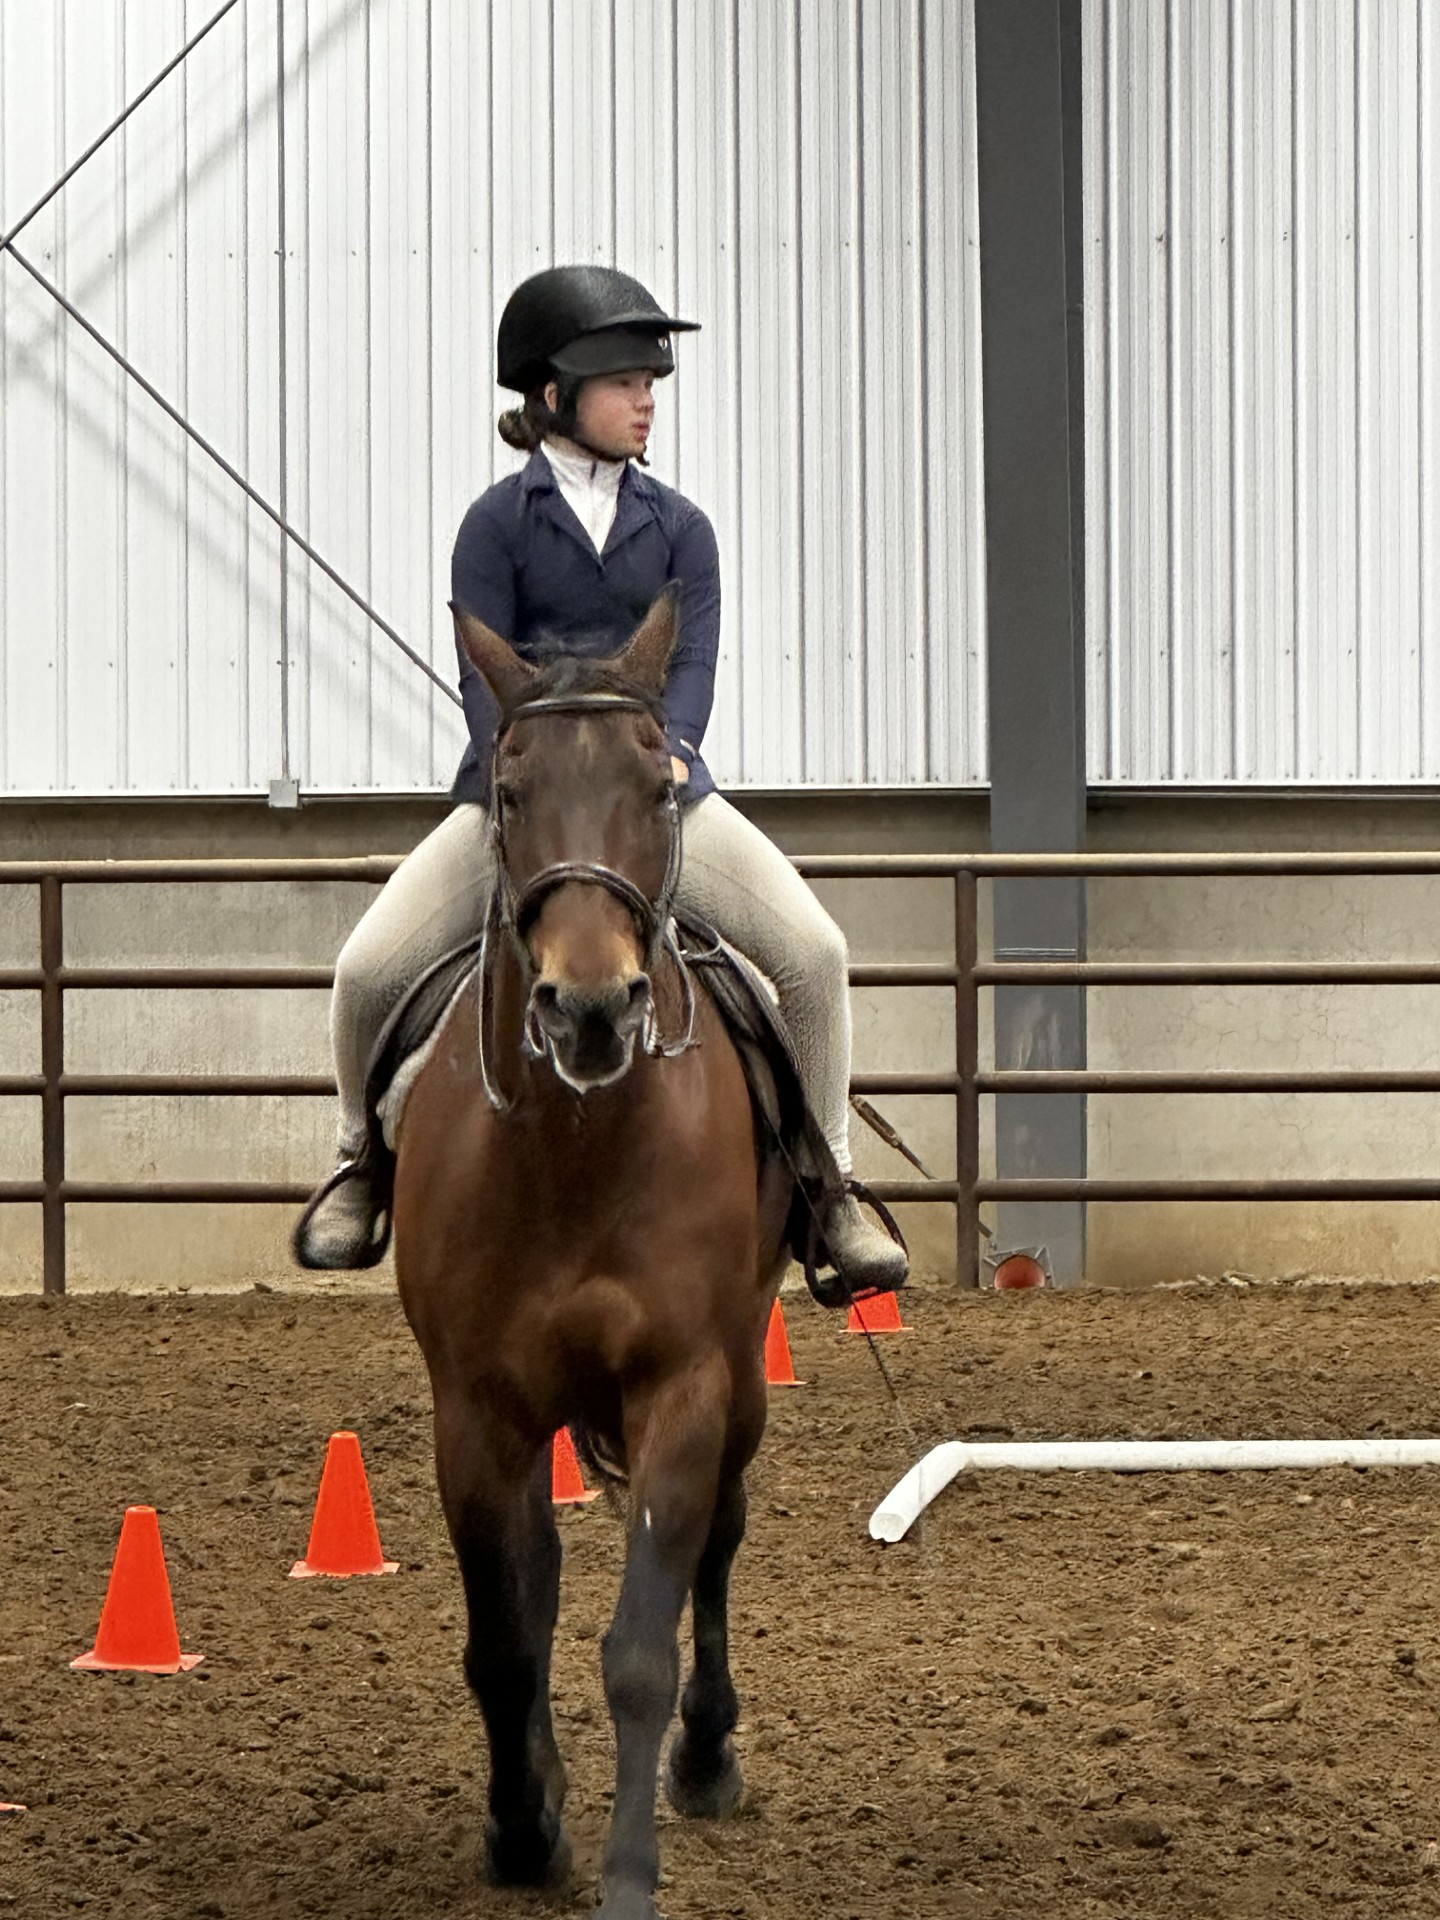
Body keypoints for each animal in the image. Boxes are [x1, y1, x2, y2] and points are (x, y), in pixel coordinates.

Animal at [391, 592, 795, 1920]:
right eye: (511, 788)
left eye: (657, 784)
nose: (591, 1009)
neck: (578, 1148)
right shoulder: (476, 1408)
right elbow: (506, 1635)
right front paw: (525, 1830)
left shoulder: (684, 1386)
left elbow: (636, 1651)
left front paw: (625, 1872)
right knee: (545, 1570)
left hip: (744, 1374)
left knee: (720, 1539)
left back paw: (710, 1761)